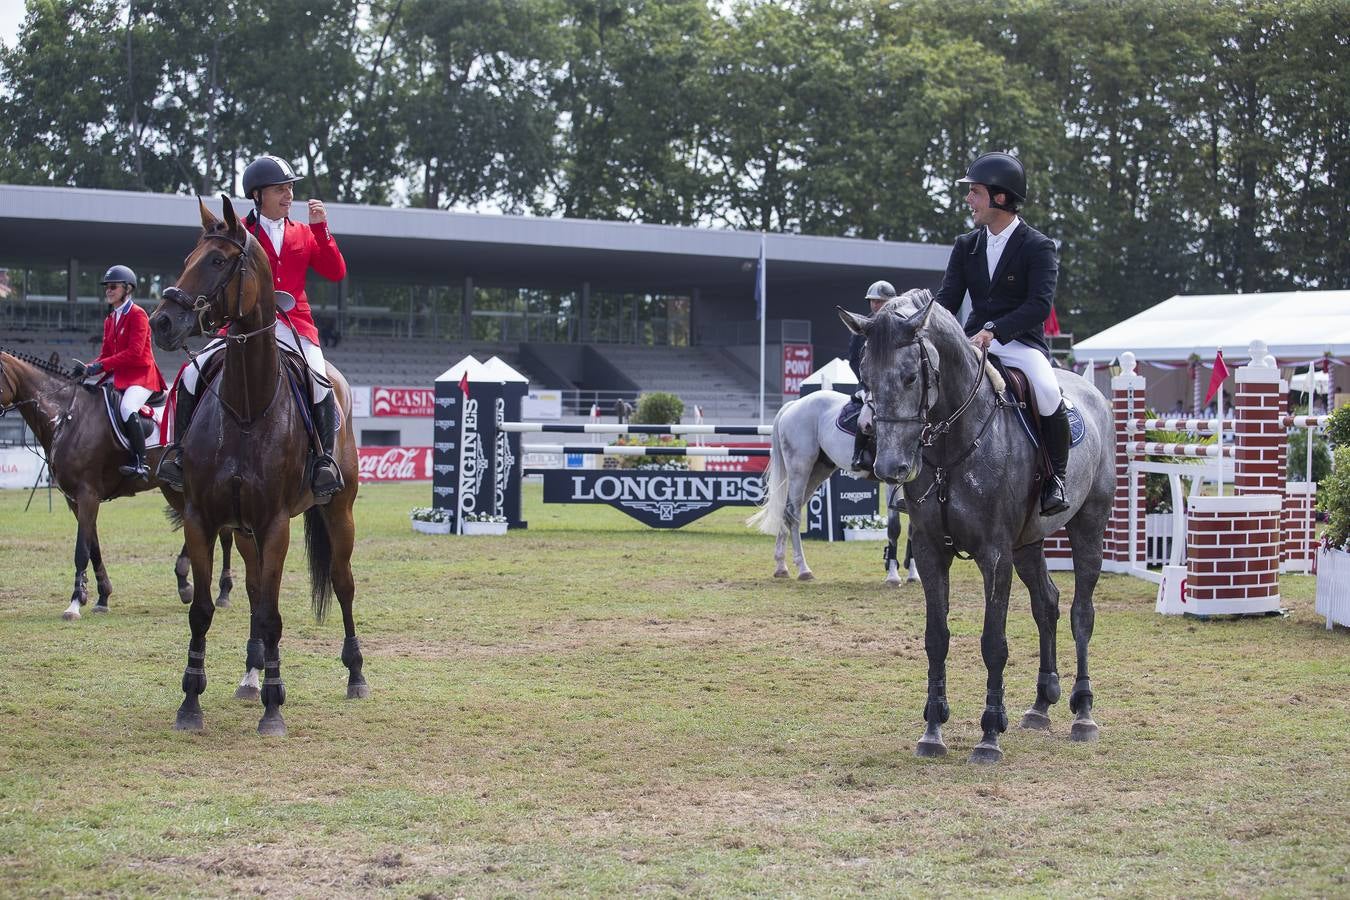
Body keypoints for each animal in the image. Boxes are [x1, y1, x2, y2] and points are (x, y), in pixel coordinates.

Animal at [0, 350, 234, 620]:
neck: (67, 417)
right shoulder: (75, 500)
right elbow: (93, 547)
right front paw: (101, 596)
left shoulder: (88, 494)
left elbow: (81, 550)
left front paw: (74, 603)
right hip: (173, 487)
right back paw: (186, 582)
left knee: (224, 532)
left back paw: (222, 591)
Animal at [147, 194, 367, 734]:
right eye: (187, 257)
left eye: (217, 261)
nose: (162, 323)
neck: (247, 406)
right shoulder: (203, 519)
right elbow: (204, 610)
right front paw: (191, 701)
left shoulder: (274, 524)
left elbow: (272, 614)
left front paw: (274, 706)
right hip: (243, 530)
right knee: (250, 590)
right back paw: (250, 674)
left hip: (339, 513)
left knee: (343, 583)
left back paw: (355, 674)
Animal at [745, 388, 923, 585]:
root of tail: (794, 405)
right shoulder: (892, 481)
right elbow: (894, 528)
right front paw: (892, 576)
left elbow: (914, 528)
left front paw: (914, 575)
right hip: (800, 469)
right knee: (793, 514)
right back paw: (803, 569)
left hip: (818, 472)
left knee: (786, 512)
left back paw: (781, 566)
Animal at [837, 290, 1112, 766]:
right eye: (865, 376)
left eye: (911, 377)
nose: (891, 468)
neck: (951, 444)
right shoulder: (931, 551)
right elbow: (936, 637)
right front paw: (932, 730)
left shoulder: (994, 556)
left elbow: (993, 643)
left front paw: (989, 735)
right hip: (1029, 544)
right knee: (1047, 604)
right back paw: (1041, 704)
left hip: (1088, 526)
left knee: (1081, 612)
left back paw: (1083, 713)